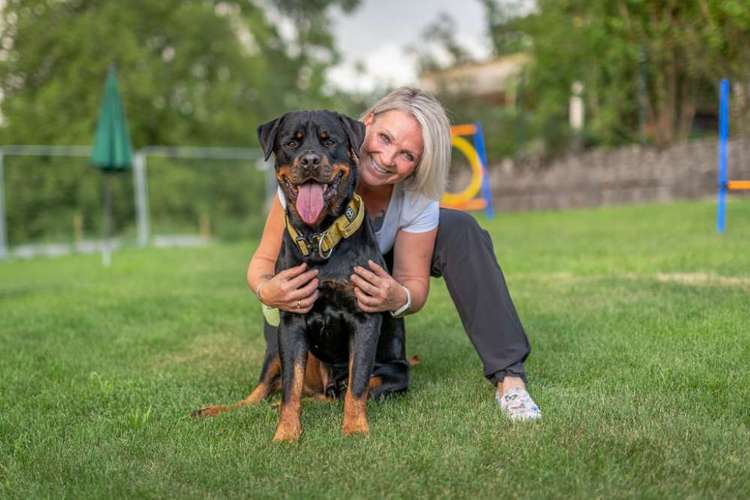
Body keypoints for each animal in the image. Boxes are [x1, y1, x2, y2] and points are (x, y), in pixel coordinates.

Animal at [191, 110, 408, 442]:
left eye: (329, 141)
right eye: (291, 143)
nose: (310, 160)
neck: (319, 237)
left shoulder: (365, 316)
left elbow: (358, 384)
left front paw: (355, 428)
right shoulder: (292, 320)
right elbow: (290, 388)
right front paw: (286, 433)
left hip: (395, 374)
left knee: (344, 391)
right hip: (274, 343)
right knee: (263, 392)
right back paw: (220, 409)